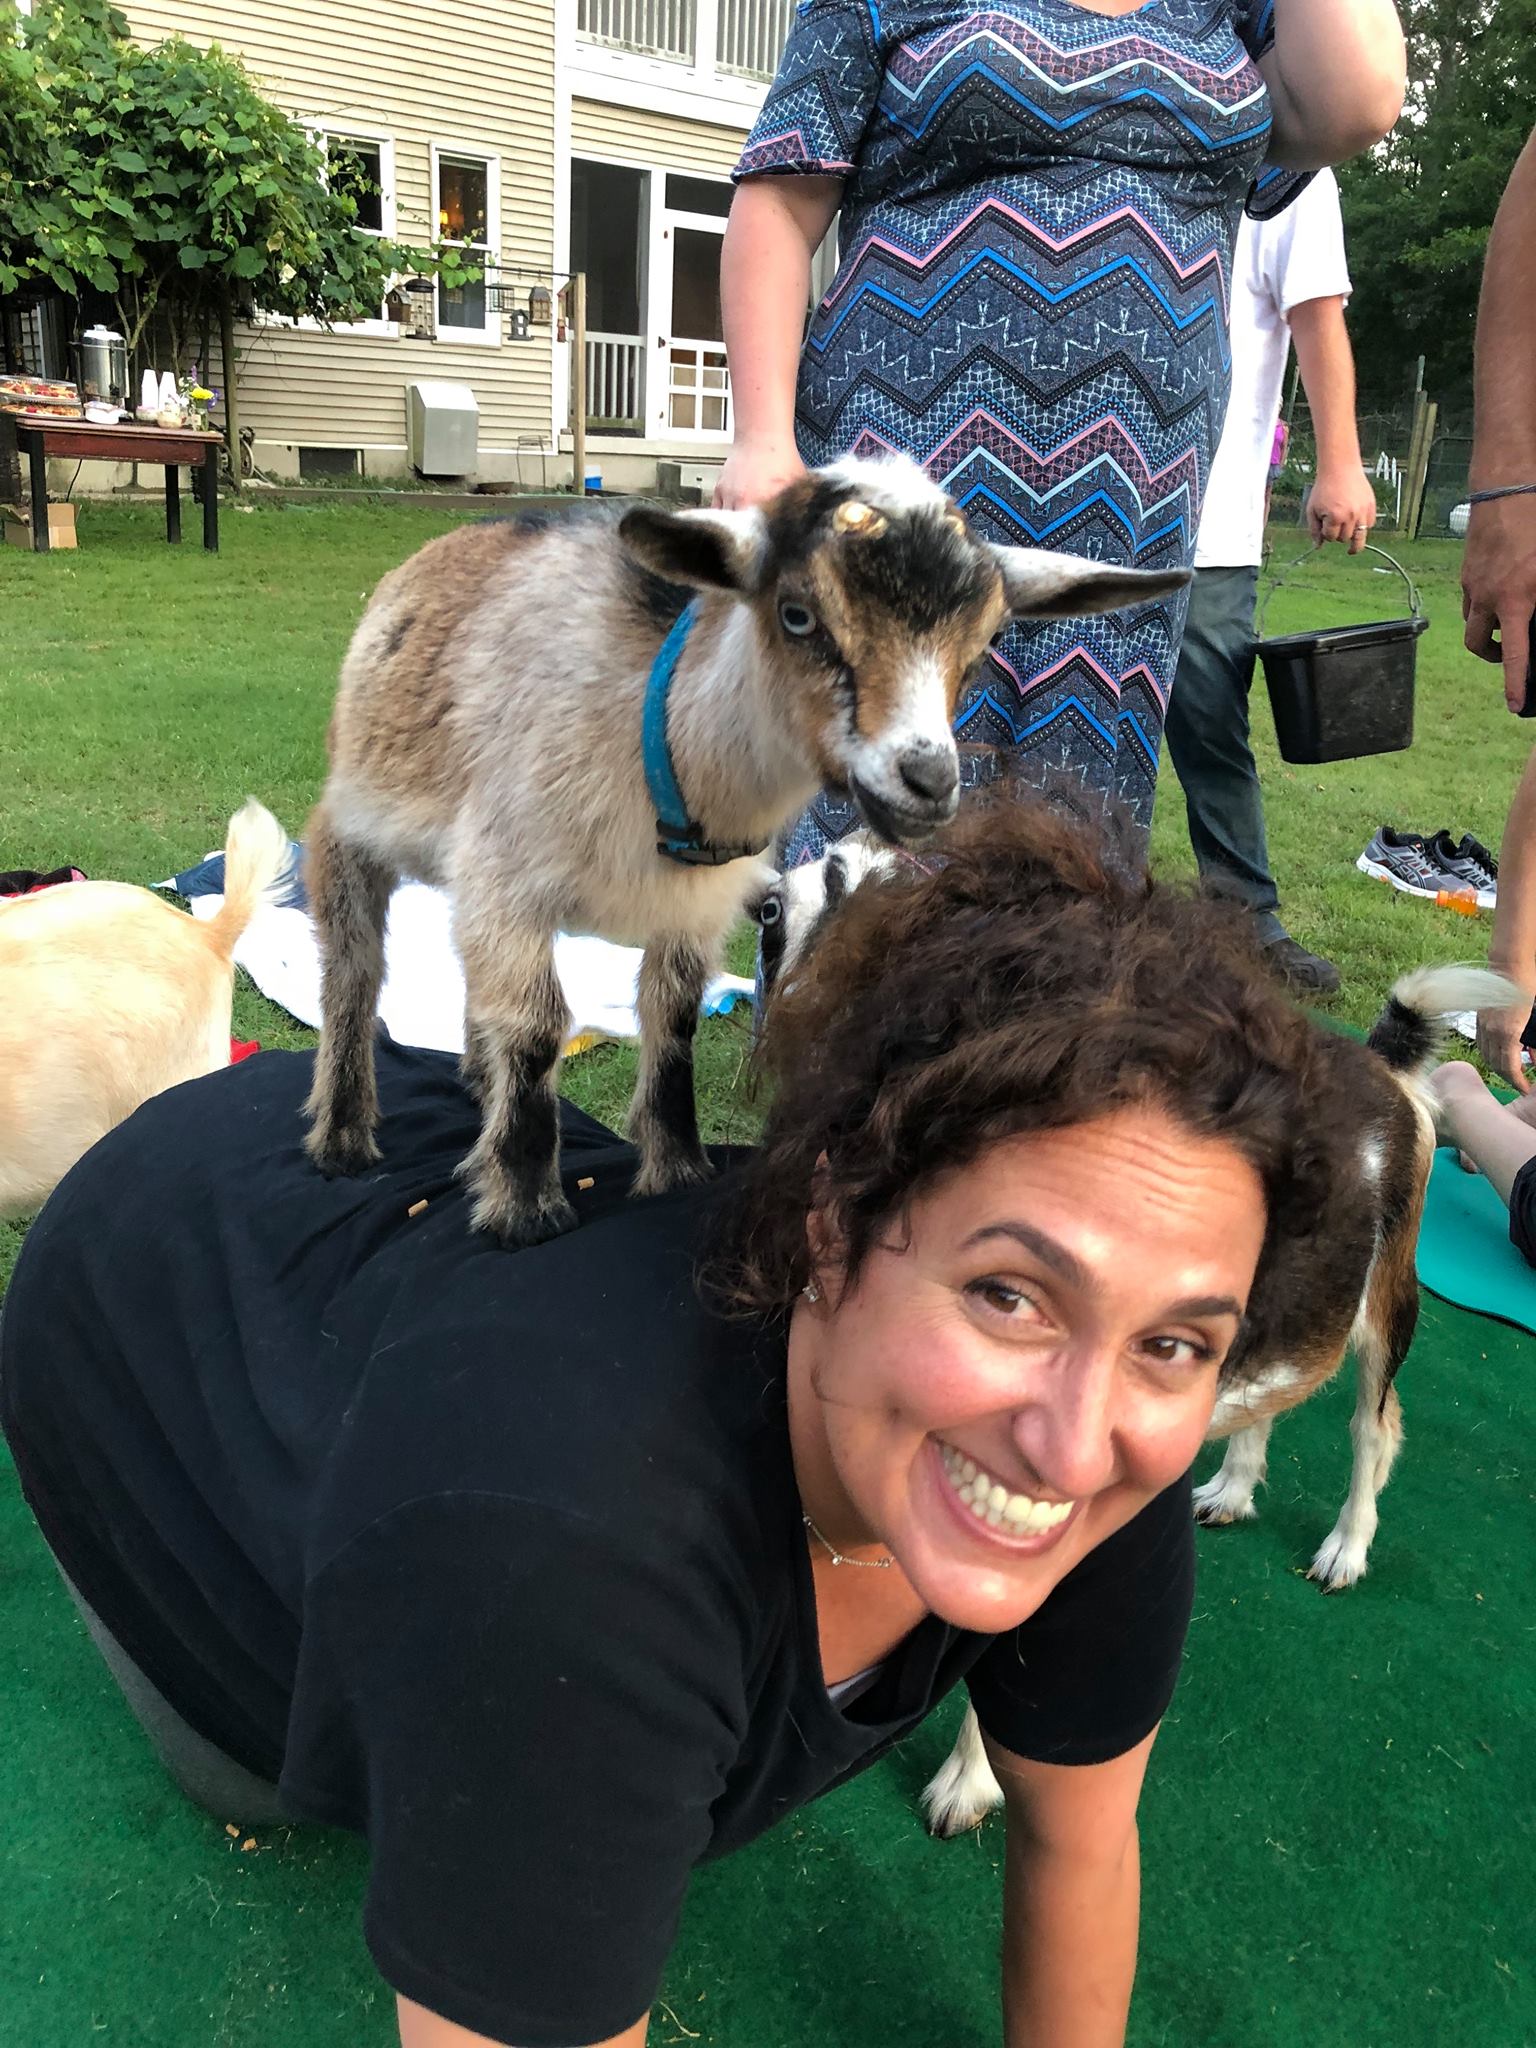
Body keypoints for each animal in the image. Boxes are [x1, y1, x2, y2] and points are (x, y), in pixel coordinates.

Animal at [302, 455, 1188, 1247]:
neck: (658, 741)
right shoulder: (508, 877)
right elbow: (536, 1026)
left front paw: (676, 1167)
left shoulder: (691, 908)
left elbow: (673, 1019)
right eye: (797, 615)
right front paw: (524, 1205)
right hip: (354, 819)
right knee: (355, 968)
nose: (929, 780)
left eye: (988, 638)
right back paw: (343, 1137)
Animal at [758, 841, 1518, 1835]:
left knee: (1372, 1428)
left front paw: (970, 1779)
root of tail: (1385, 1068)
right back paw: (1231, 1489)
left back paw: (1346, 1547)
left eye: (855, 881)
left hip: (1386, 1304)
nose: (773, 900)